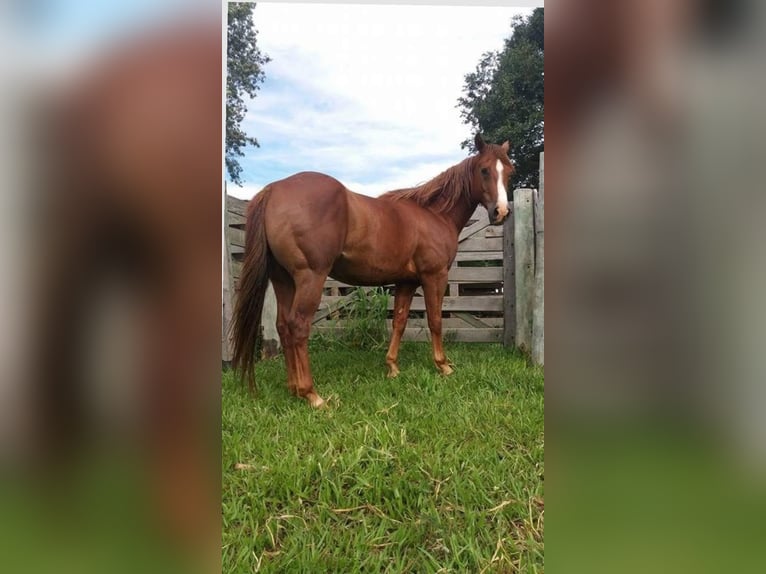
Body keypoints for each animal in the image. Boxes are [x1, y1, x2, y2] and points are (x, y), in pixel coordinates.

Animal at [231, 135, 514, 407]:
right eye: (484, 170)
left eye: (509, 171)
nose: (501, 212)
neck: (434, 214)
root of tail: (273, 189)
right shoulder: (434, 277)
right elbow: (435, 321)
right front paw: (443, 366)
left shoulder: (406, 282)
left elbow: (399, 321)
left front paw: (392, 367)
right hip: (310, 276)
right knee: (298, 326)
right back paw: (311, 394)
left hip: (284, 280)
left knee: (282, 326)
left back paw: (293, 388)